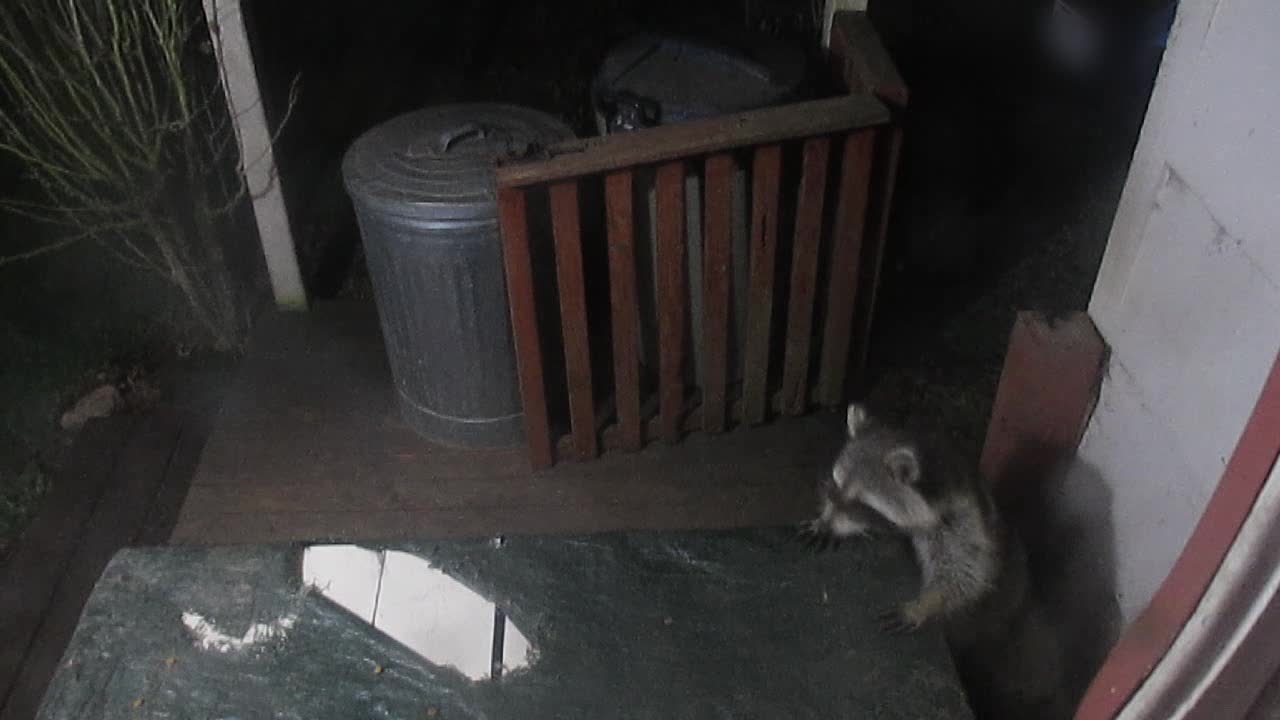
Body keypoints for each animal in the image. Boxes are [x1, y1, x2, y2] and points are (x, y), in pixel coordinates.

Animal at [808, 404, 1070, 717]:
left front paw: (927, 604)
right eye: (835, 485)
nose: (830, 519)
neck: (931, 456)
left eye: (861, 504)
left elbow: (967, 571)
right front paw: (827, 520)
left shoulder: (962, 517)